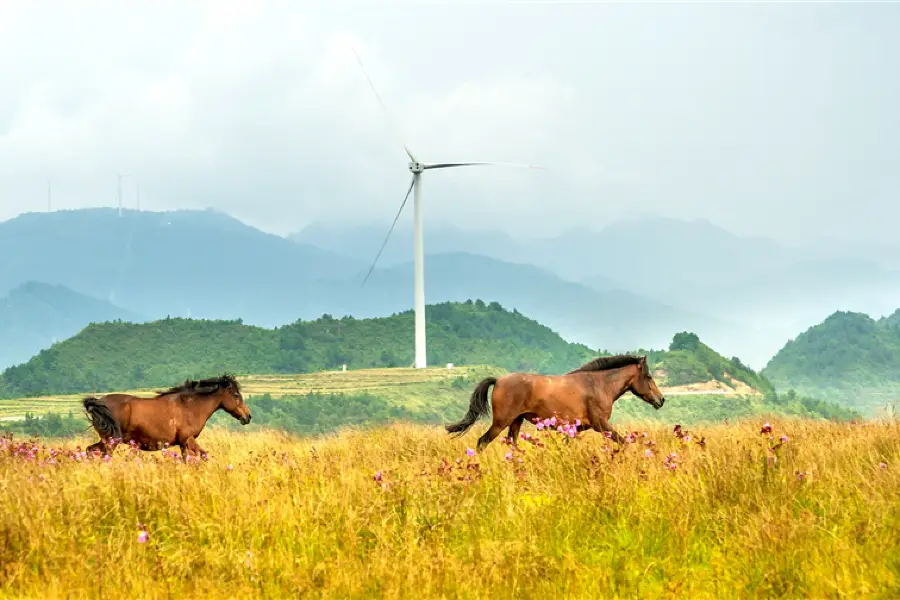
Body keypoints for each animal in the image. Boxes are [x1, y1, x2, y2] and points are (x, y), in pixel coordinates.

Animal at [81, 372, 251, 458]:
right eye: (236, 395)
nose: (248, 416)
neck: (190, 407)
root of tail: (98, 402)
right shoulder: (188, 439)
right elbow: (202, 456)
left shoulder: (183, 444)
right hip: (111, 441)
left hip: (105, 440)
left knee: (90, 451)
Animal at [446, 356, 664, 450]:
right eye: (649, 376)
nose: (661, 400)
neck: (598, 385)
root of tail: (498, 380)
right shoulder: (601, 425)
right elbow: (624, 442)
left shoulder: (574, 429)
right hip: (501, 422)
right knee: (482, 442)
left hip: (516, 422)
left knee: (513, 445)